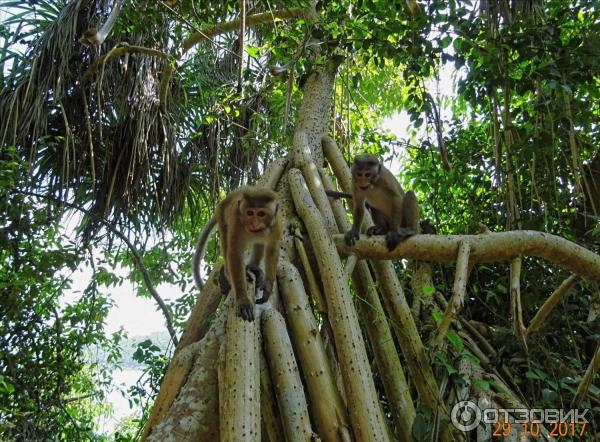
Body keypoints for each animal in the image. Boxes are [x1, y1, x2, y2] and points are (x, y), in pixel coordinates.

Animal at [195, 186, 284, 322]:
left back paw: (254, 268)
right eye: (250, 213)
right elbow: (234, 253)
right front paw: (243, 300)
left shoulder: (276, 224)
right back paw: (228, 272)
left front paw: (268, 289)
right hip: (221, 214)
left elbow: (272, 249)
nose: (254, 223)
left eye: (261, 214)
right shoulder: (236, 222)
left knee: (259, 243)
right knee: (225, 240)